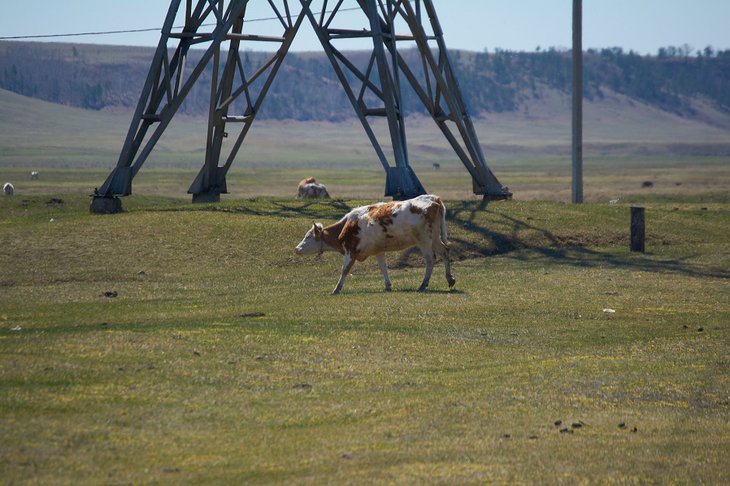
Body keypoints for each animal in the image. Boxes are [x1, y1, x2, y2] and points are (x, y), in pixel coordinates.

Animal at [295, 194, 455, 294]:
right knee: (445, 251)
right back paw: (450, 279)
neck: (347, 225)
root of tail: (434, 198)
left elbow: (345, 269)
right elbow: (383, 267)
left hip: (424, 240)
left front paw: (336, 289)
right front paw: (388, 286)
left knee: (430, 260)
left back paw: (423, 284)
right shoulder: (379, 250)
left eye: (308, 236)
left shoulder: (351, 250)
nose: (296, 248)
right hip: (434, 238)